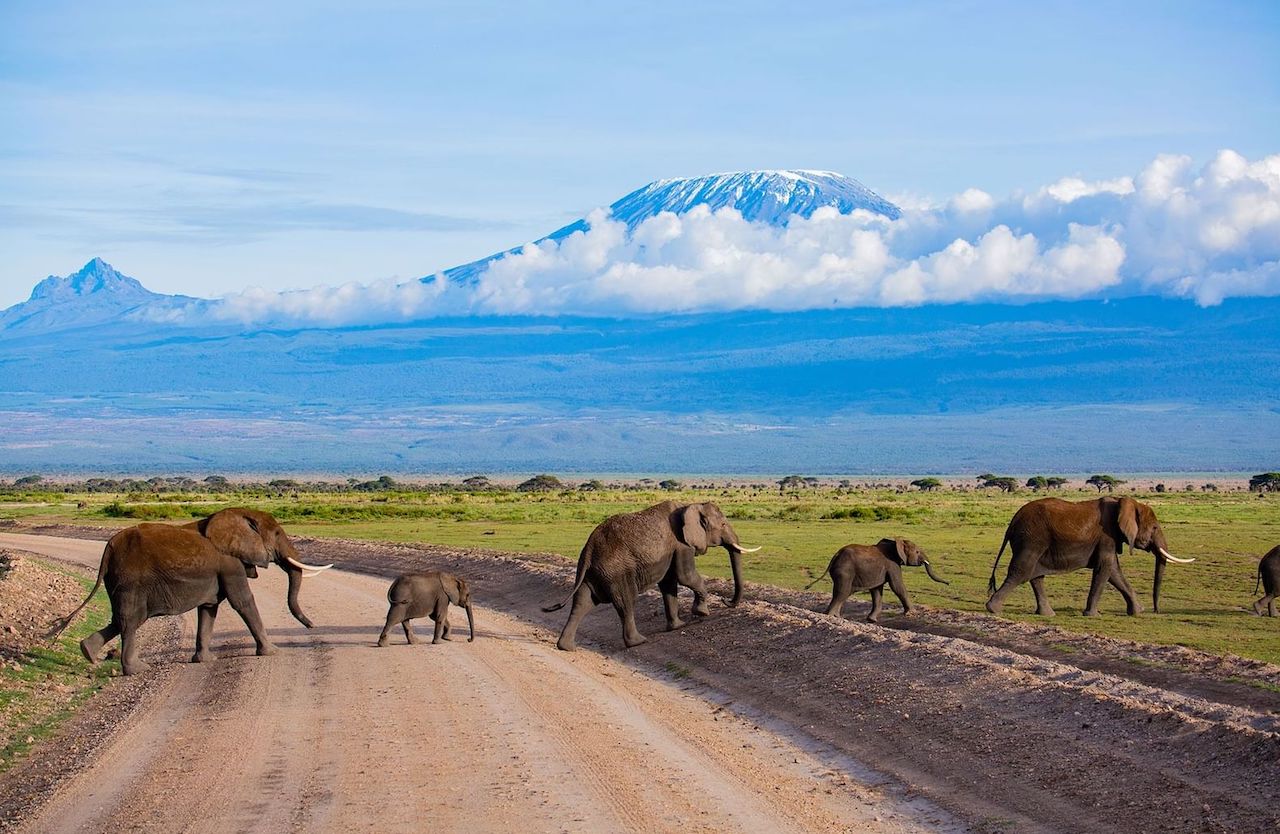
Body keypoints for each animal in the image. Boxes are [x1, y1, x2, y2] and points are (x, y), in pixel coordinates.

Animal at [542, 501, 757, 652]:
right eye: (723, 524)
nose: (726, 601)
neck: (691, 505)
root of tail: (589, 549)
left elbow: (669, 584)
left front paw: (678, 626)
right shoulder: (682, 544)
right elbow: (685, 577)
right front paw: (702, 613)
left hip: (594, 572)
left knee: (582, 603)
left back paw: (567, 647)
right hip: (616, 571)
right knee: (626, 602)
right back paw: (639, 641)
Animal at [808, 537, 952, 621]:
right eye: (917, 552)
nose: (949, 583)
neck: (895, 542)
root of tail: (835, 555)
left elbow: (877, 590)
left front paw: (871, 620)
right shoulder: (892, 564)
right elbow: (897, 586)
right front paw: (912, 613)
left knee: (842, 593)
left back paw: (835, 616)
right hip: (845, 572)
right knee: (842, 592)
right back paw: (831, 616)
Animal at [983, 496, 1192, 619]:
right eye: (1155, 527)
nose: (1156, 610)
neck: (1123, 502)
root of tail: (1012, 522)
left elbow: (1114, 572)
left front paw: (1137, 612)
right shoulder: (1107, 535)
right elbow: (1105, 569)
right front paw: (1092, 615)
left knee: (1035, 575)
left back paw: (1047, 615)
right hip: (1031, 539)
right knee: (1022, 571)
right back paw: (993, 609)